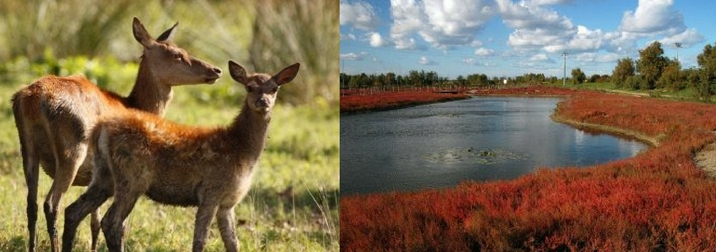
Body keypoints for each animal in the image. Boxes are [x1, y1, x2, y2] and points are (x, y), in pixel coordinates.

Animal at [11, 17, 222, 252]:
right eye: (176, 54)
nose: (216, 70)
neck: (134, 103)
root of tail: (30, 98)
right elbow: (118, 225)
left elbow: (94, 221)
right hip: (71, 152)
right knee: (52, 204)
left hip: (28, 150)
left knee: (31, 205)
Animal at [60, 60, 298, 251]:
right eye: (249, 87)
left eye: (275, 88)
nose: (263, 102)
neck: (241, 149)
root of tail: (101, 128)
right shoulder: (211, 190)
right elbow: (200, 241)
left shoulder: (228, 202)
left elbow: (232, 243)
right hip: (132, 176)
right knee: (111, 222)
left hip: (104, 174)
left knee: (73, 211)